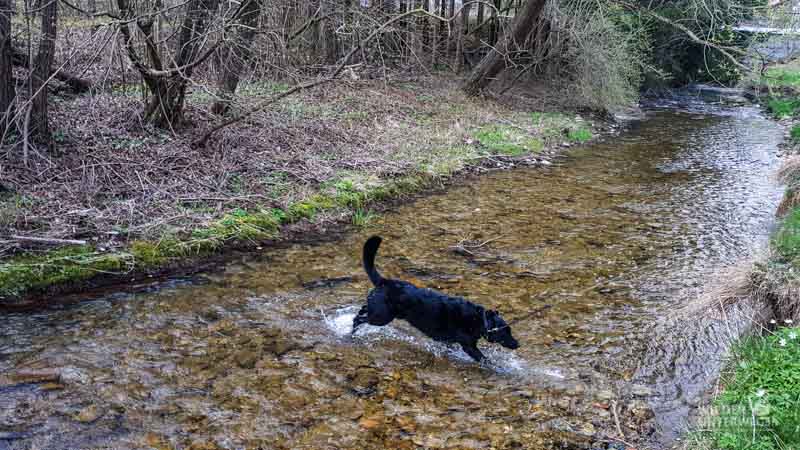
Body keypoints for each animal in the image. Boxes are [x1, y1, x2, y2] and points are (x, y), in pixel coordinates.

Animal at [352, 236, 520, 362]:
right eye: (506, 331)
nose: (517, 344)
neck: (480, 319)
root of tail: (384, 281)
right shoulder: (469, 346)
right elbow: (485, 360)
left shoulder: (449, 342)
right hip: (382, 317)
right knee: (359, 319)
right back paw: (353, 331)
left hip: (380, 311)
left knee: (362, 310)